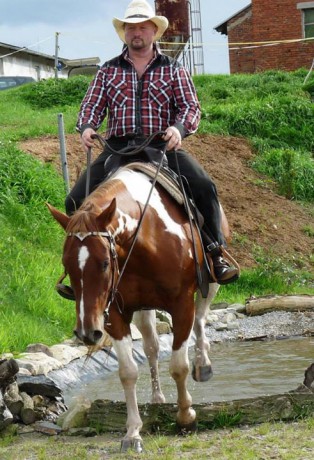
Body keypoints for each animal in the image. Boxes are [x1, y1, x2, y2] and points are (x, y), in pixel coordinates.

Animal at [48, 166, 218, 452]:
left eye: (104, 263)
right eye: (67, 265)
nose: (86, 333)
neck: (146, 236)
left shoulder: (182, 304)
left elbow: (179, 366)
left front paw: (186, 418)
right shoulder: (115, 314)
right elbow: (128, 372)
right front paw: (133, 433)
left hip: (211, 284)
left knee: (201, 320)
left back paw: (203, 364)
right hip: (142, 310)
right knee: (151, 347)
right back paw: (158, 398)